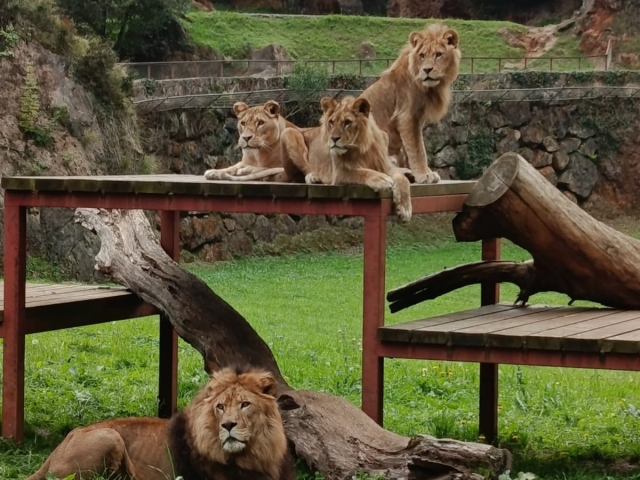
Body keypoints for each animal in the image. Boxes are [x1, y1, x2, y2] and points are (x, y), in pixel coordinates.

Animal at [27, 366, 296, 480]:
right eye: (220, 407)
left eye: (245, 404)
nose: (228, 425)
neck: (256, 453)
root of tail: (59, 447)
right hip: (109, 436)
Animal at [280, 96, 412, 222]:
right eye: (331, 122)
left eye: (347, 122)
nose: (333, 138)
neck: (361, 149)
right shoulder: (339, 173)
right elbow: (360, 172)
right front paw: (381, 179)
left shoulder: (385, 166)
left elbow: (401, 177)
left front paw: (405, 208)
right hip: (288, 132)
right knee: (299, 174)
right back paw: (313, 177)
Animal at [359, 23, 461, 184]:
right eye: (422, 55)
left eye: (438, 54)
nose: (427, 70)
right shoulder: (407, 116)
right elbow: (418, 149)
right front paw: (424, 175)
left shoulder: (417, 119)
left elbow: (411, 149)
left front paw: (419, 173)